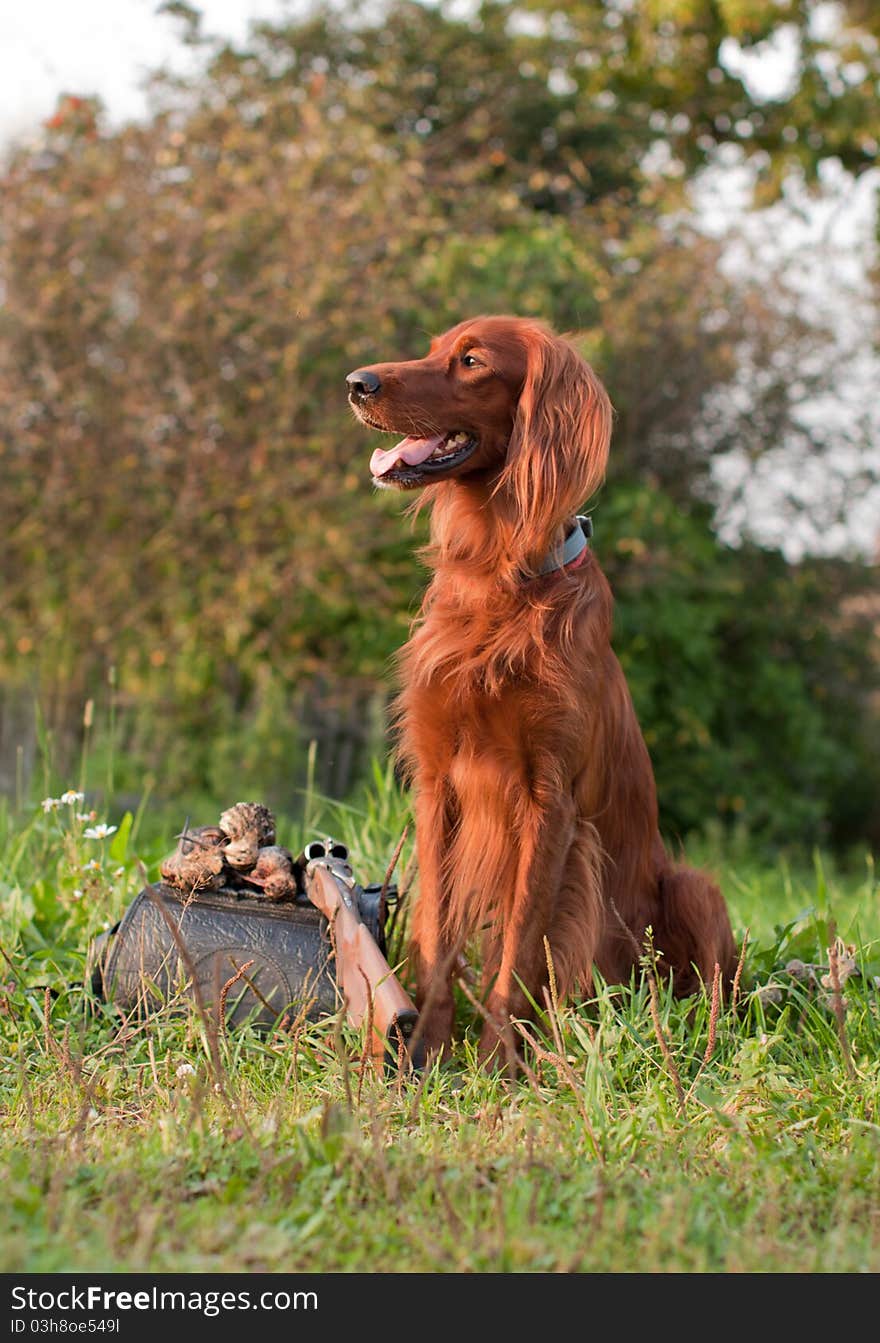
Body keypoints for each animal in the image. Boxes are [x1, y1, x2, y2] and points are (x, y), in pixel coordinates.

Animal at [343, 314, 736, 1058]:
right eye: (432, 348)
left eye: (471, 361)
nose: (356, 381)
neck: (499, 577)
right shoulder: (438, 783)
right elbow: (438, 934)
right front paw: (427, 1051)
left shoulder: (548, 800)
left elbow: (523, 944)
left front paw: (500, 1062)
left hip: (698, 890)